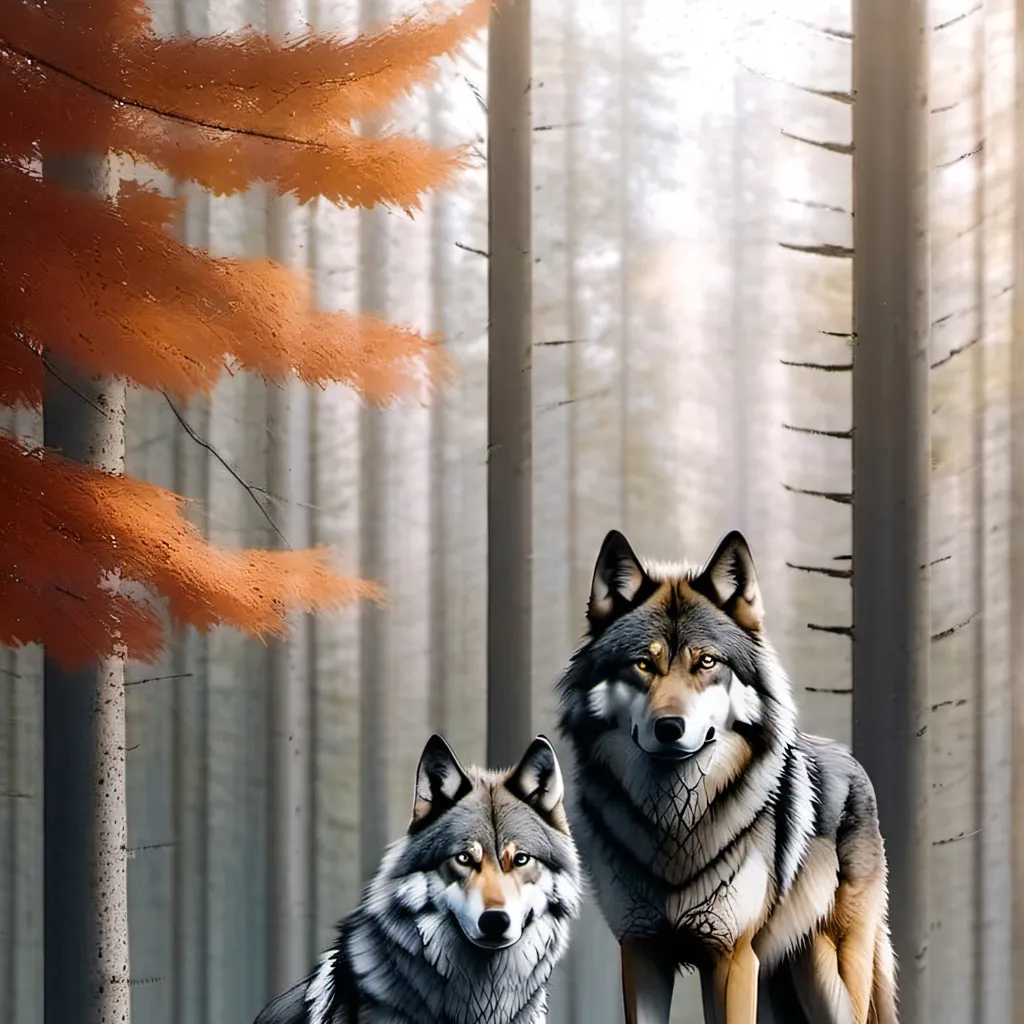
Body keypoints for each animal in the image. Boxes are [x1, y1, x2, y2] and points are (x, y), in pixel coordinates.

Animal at [557, 529, 897, 1024]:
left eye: (706, 662)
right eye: (643, 664)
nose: (669, 727)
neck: (674, 828)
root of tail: (852, 762)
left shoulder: (732, 956)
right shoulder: (642, 953)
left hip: (826, 974)